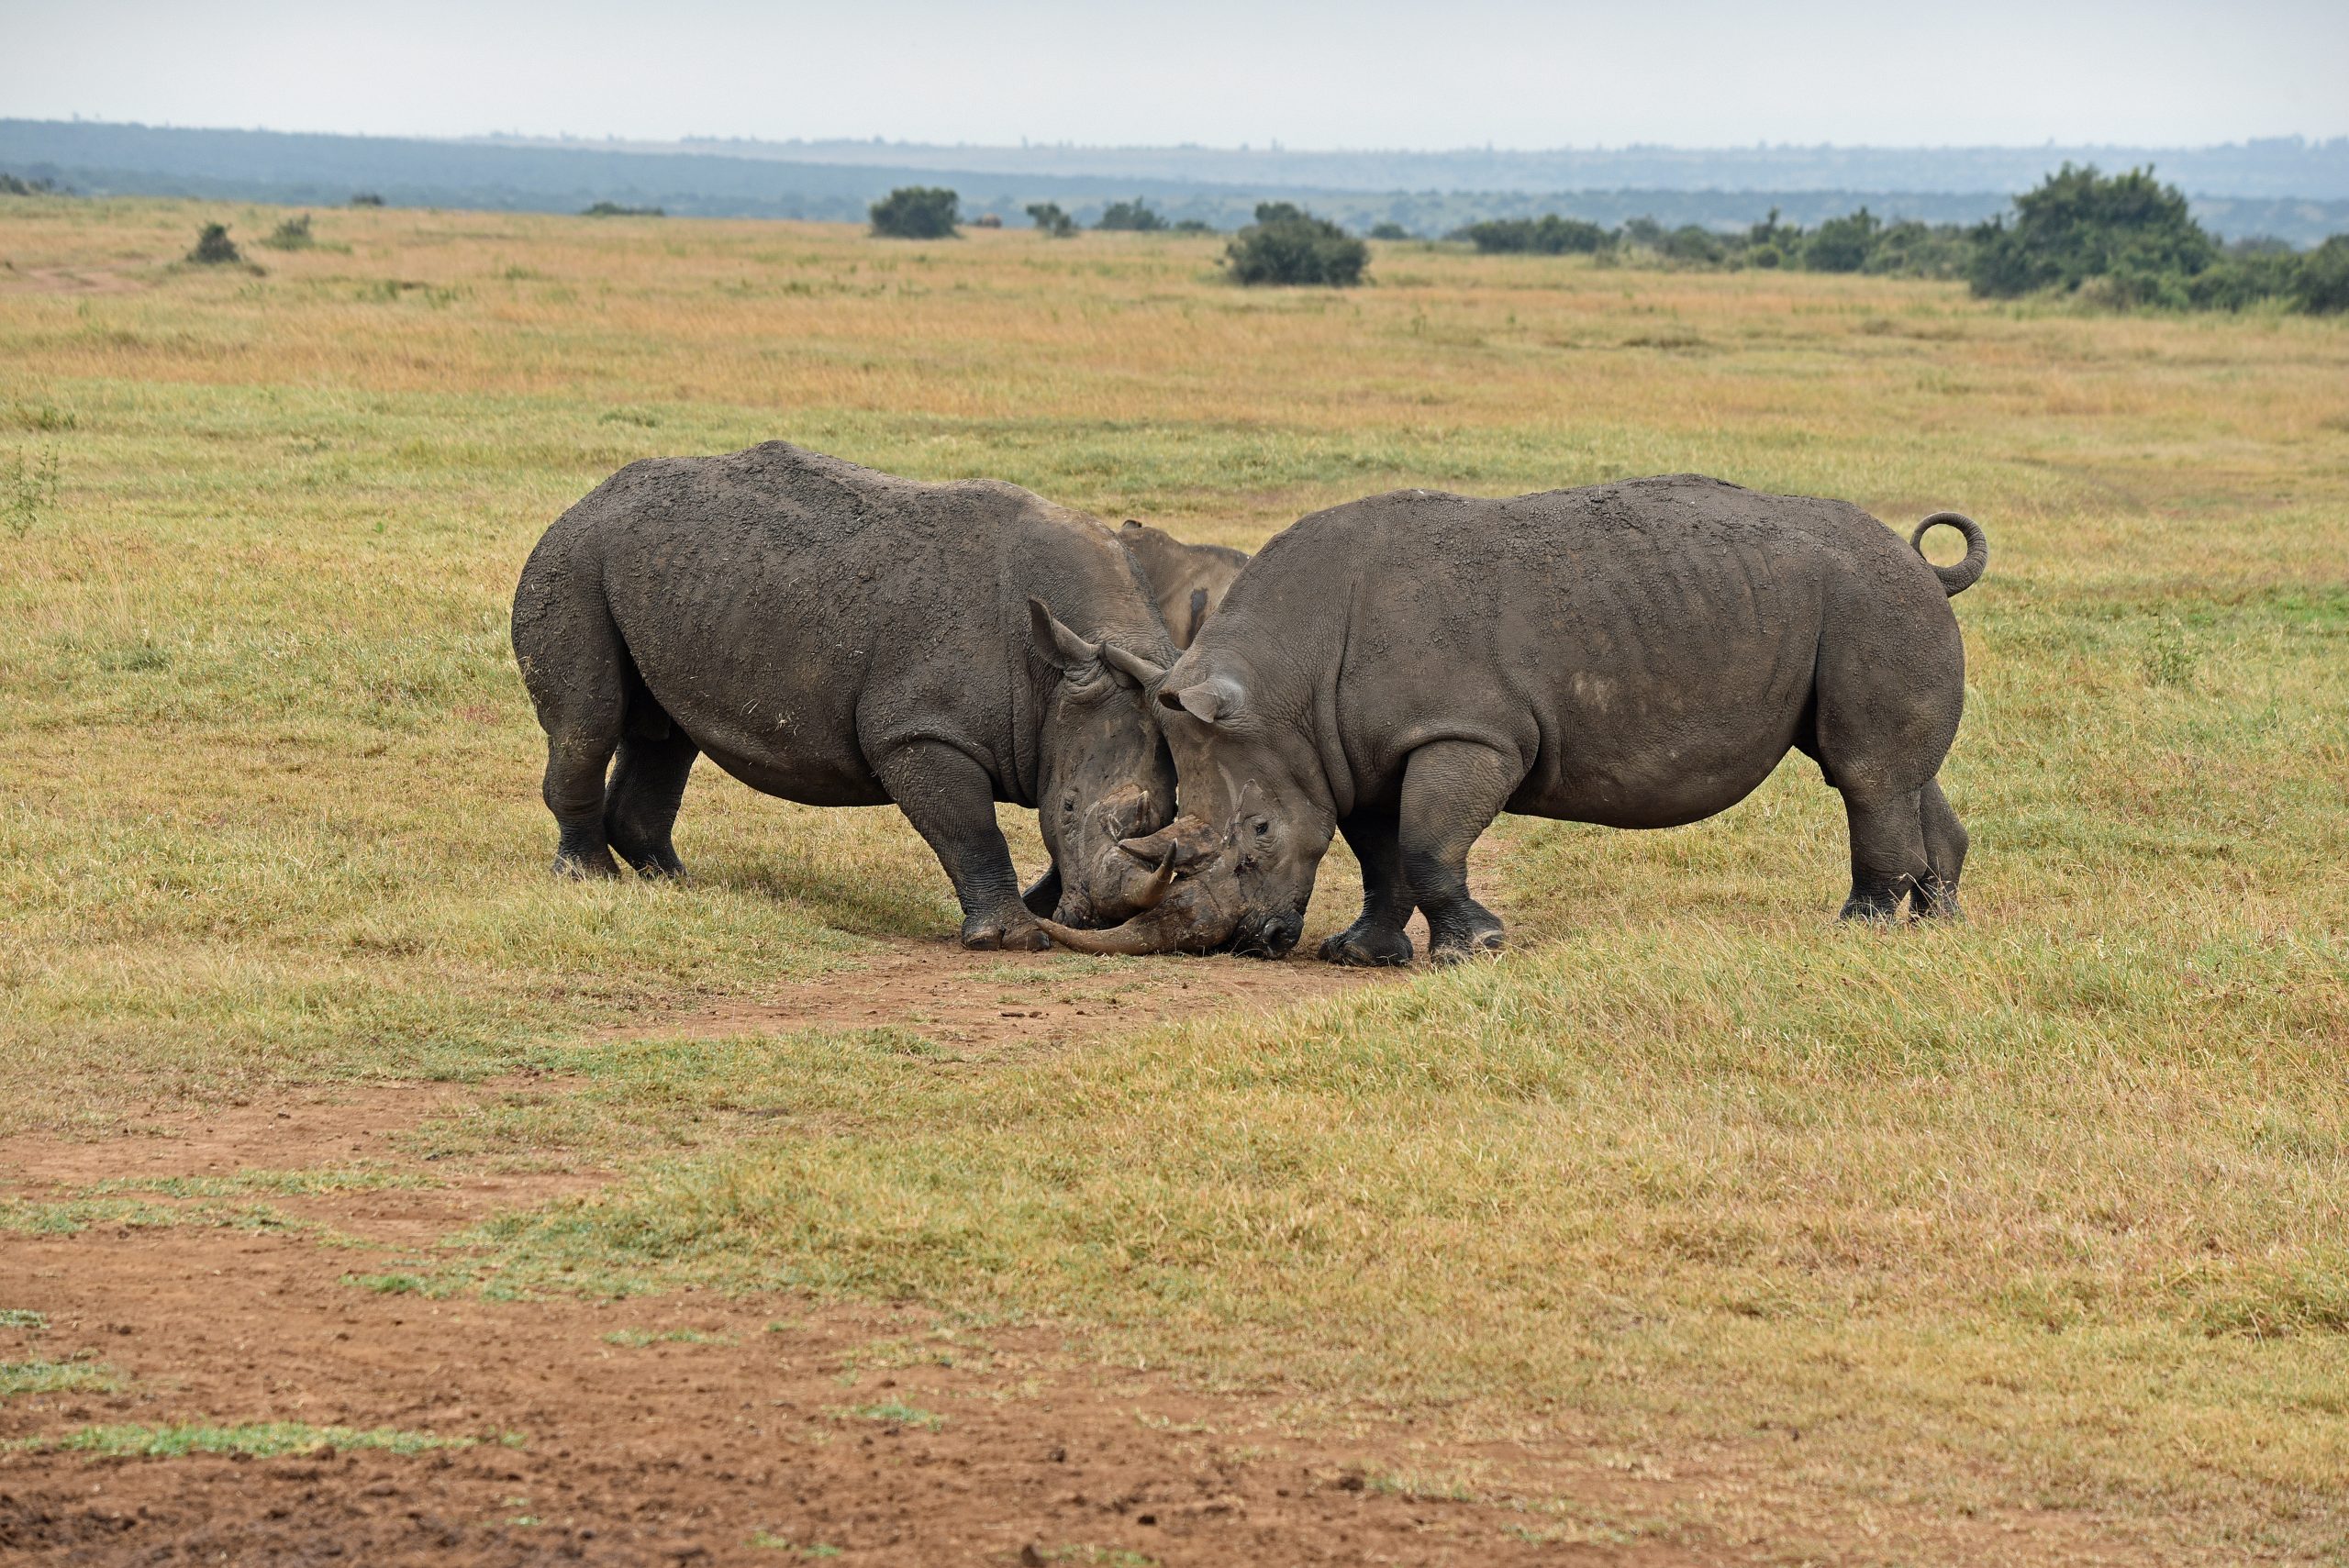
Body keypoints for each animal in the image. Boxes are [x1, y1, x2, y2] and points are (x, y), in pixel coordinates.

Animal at [511, 442, 1181, 949]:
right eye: (1067, 809)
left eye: (1171, 817)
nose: (1107, 914)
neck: (1062, 666)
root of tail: (588, 499)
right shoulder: (917, 731)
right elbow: (970, 828)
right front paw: (1013, 938)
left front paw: (1041, 911)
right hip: (575, 559)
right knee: (590, 722)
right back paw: (590, 879)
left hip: (669, 578)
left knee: (667, 736)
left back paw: (677, 883)